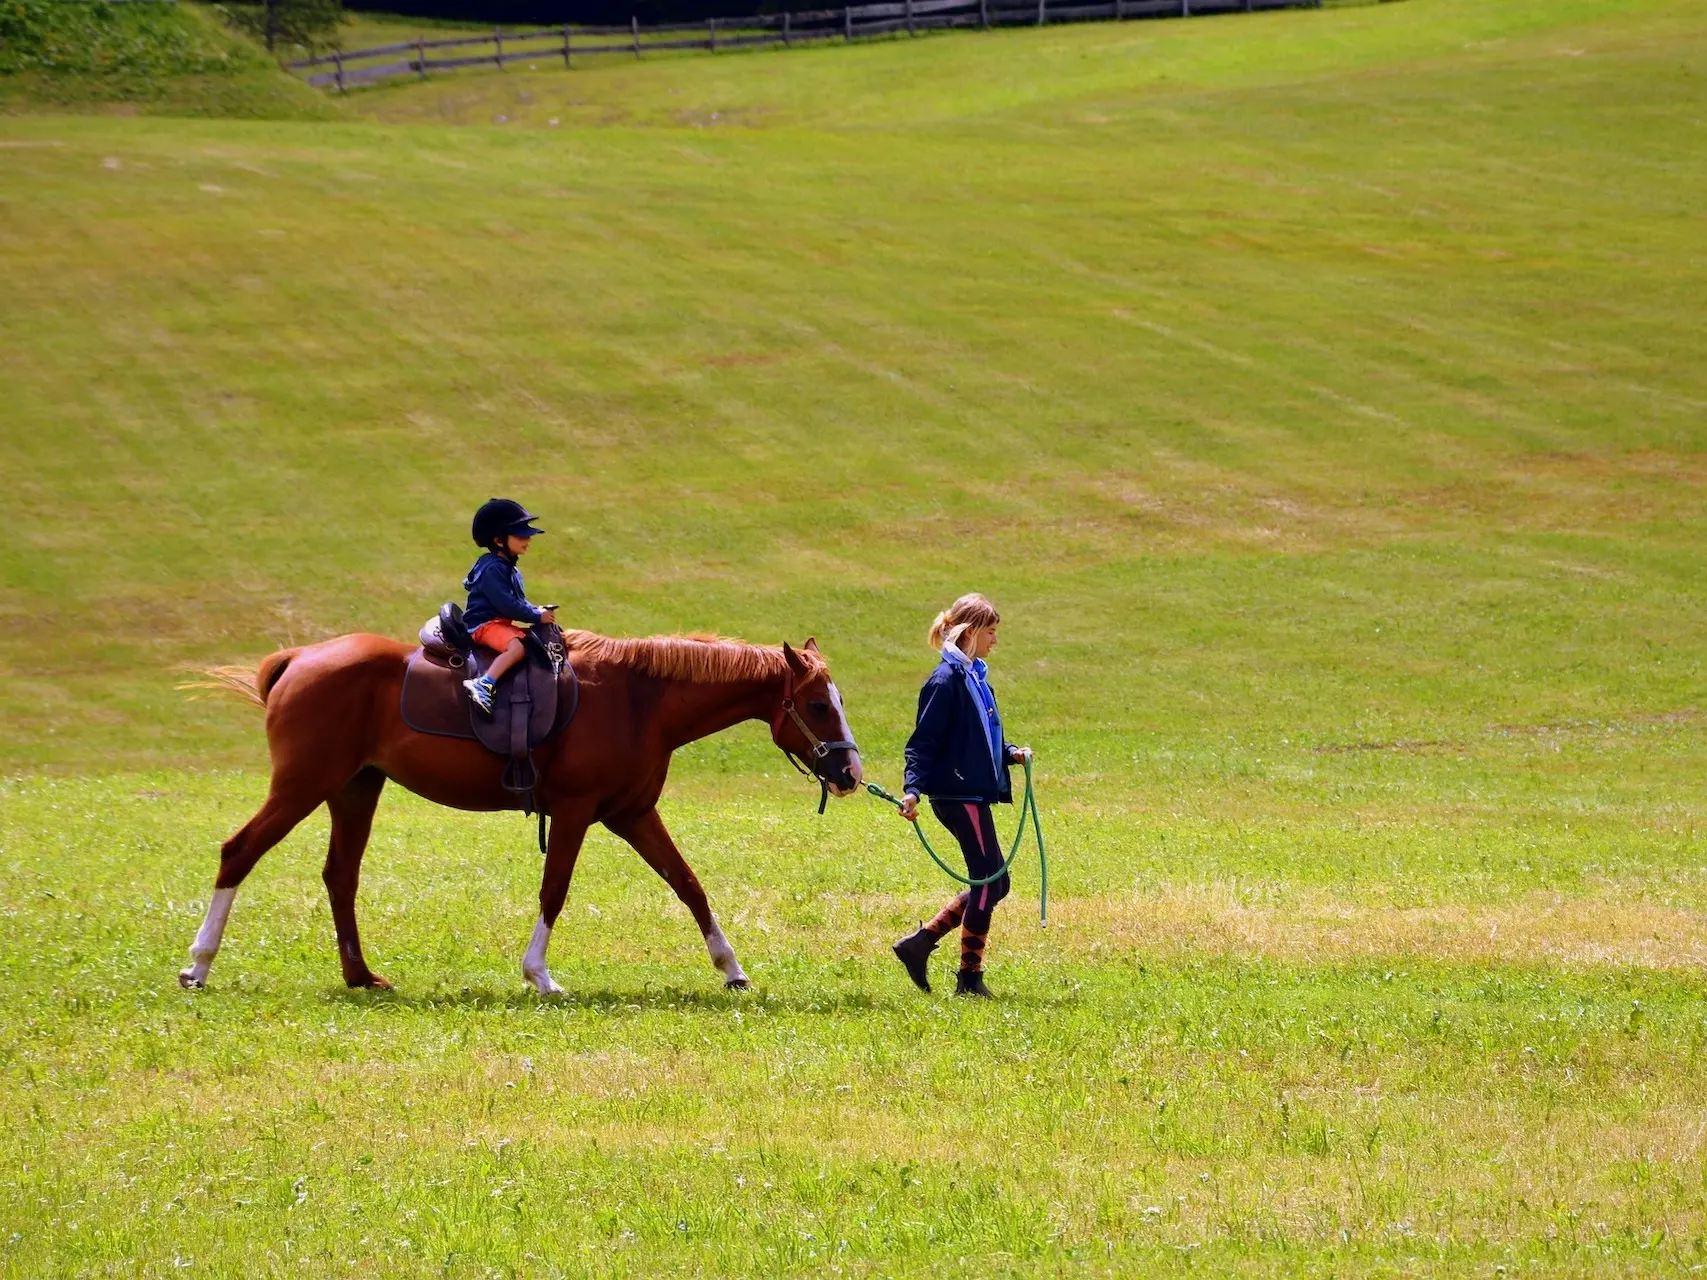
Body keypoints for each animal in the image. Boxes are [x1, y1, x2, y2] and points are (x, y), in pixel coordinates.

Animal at [180, 628, 860, 989]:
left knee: (340, 876)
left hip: (354, 789)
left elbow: (690, 885)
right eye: (818, 705)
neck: (639, 700)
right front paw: (540, 974)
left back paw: (360, 975)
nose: (851, 773)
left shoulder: (633, 815)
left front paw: (731, 968)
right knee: (239, 852)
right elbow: (554, 889)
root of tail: (300, 657)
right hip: (303, 786)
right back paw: (199, 964)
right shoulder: (577, 812)